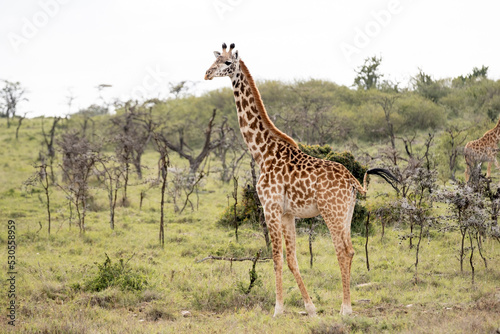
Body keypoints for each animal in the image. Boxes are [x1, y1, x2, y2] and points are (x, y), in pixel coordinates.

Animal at [203, 43, 398, 318]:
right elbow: (292, 258)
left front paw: (277, 309)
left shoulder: (270, 207)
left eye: (228, 63)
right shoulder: (287, 213)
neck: (262, 152)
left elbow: (276, 256)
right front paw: (310, 307)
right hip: (346, 212)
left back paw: (346, 308)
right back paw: (345, 305)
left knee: (342, 251)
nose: (207, 73)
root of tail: (352, 180)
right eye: (216, 59)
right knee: (349, 249)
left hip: (331, 212)